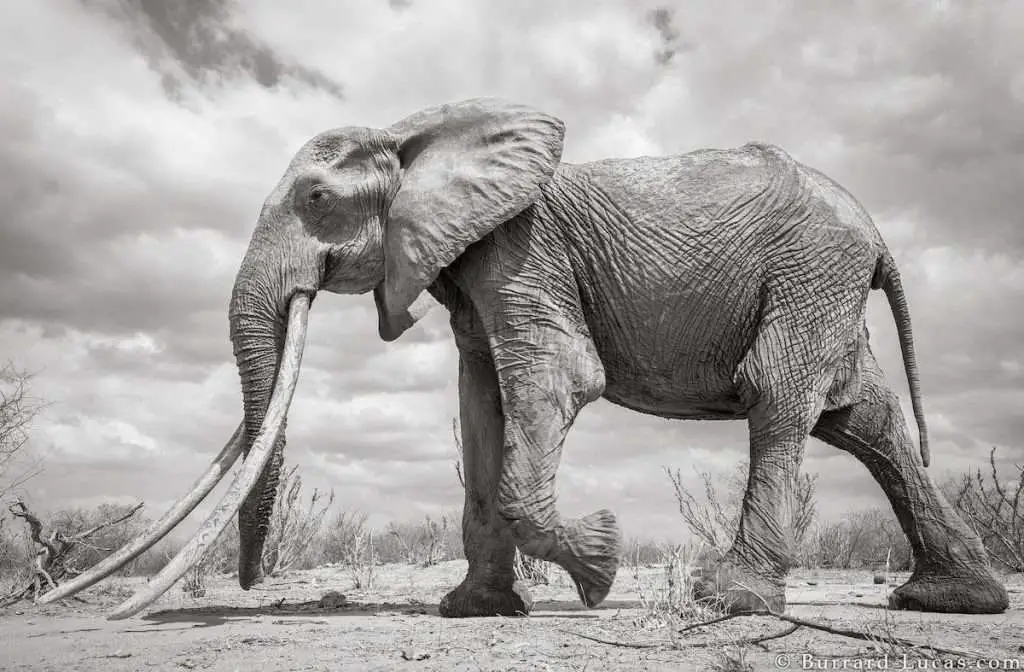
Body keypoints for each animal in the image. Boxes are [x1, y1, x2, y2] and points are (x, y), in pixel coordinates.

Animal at [44, 97, 1003, 618]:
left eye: (314, 199)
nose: (246, 586)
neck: (415, 133)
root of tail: (877, 233)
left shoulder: (521, 250)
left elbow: (554, 382)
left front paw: (601, 568)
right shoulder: (472, 273)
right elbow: (481, 406)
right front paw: (475, 609)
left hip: (811, 273)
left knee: (781, 399)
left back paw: (728, 601)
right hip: (823, 285)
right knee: (864, 421)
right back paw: (953, 600)